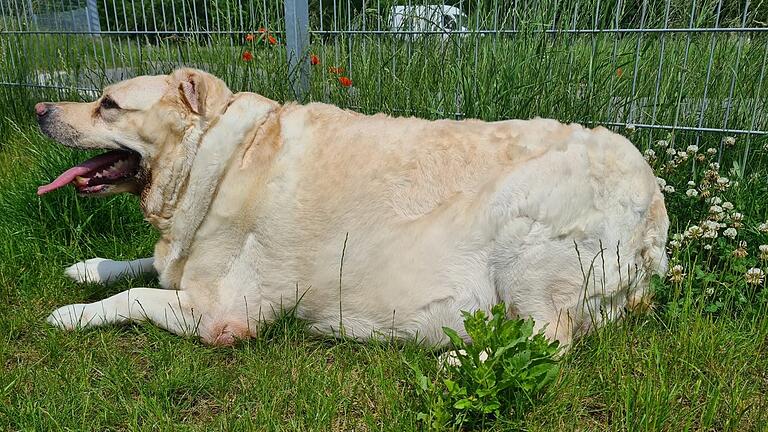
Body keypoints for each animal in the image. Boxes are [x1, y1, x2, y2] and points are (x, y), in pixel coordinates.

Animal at [37, 69, 664, 350]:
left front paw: (71, 314)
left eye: (108, 104)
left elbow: (135, 296)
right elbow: (144, 263)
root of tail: (655, 216)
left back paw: (460, 362)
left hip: (528, 237)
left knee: (546, 341)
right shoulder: (182, 257)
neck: (216, 159)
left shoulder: (223, 315)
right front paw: (89, 269)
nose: (41, 109)